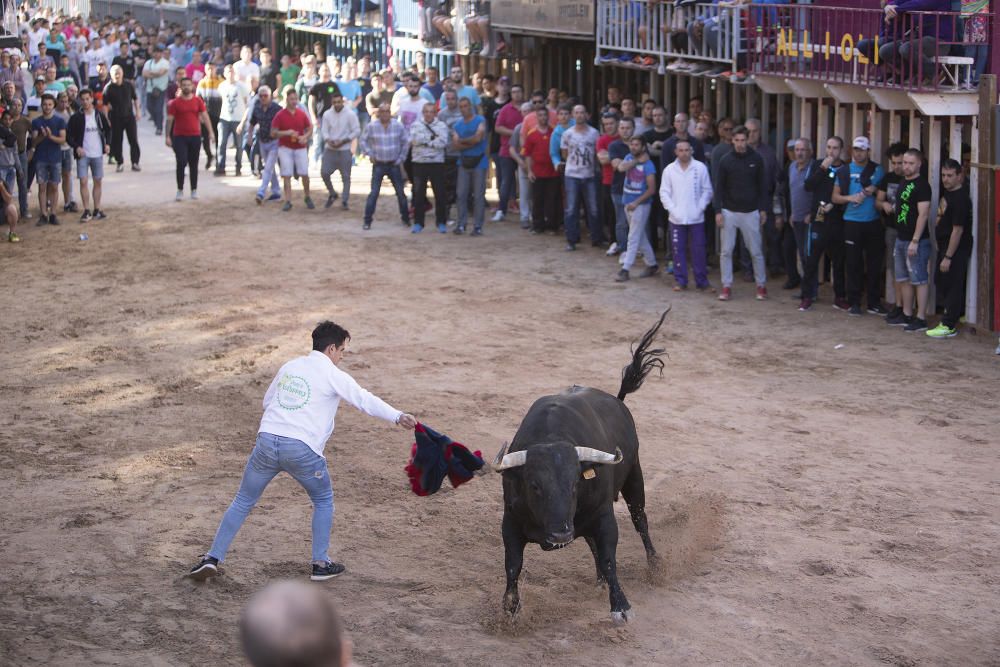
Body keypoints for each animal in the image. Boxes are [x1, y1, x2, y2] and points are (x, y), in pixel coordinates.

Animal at [490, 310, 664, 624]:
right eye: (534, 485)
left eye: (575, 483)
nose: (560, 535)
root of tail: (618, 401)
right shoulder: (510, 521)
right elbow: (513, 564)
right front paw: (510, 608)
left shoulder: (604, 516)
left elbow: (609, 557)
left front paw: (620, 606)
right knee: (593, 542)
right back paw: (599, 581)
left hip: (635, 477)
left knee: (640, 520)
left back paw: (655, 565)